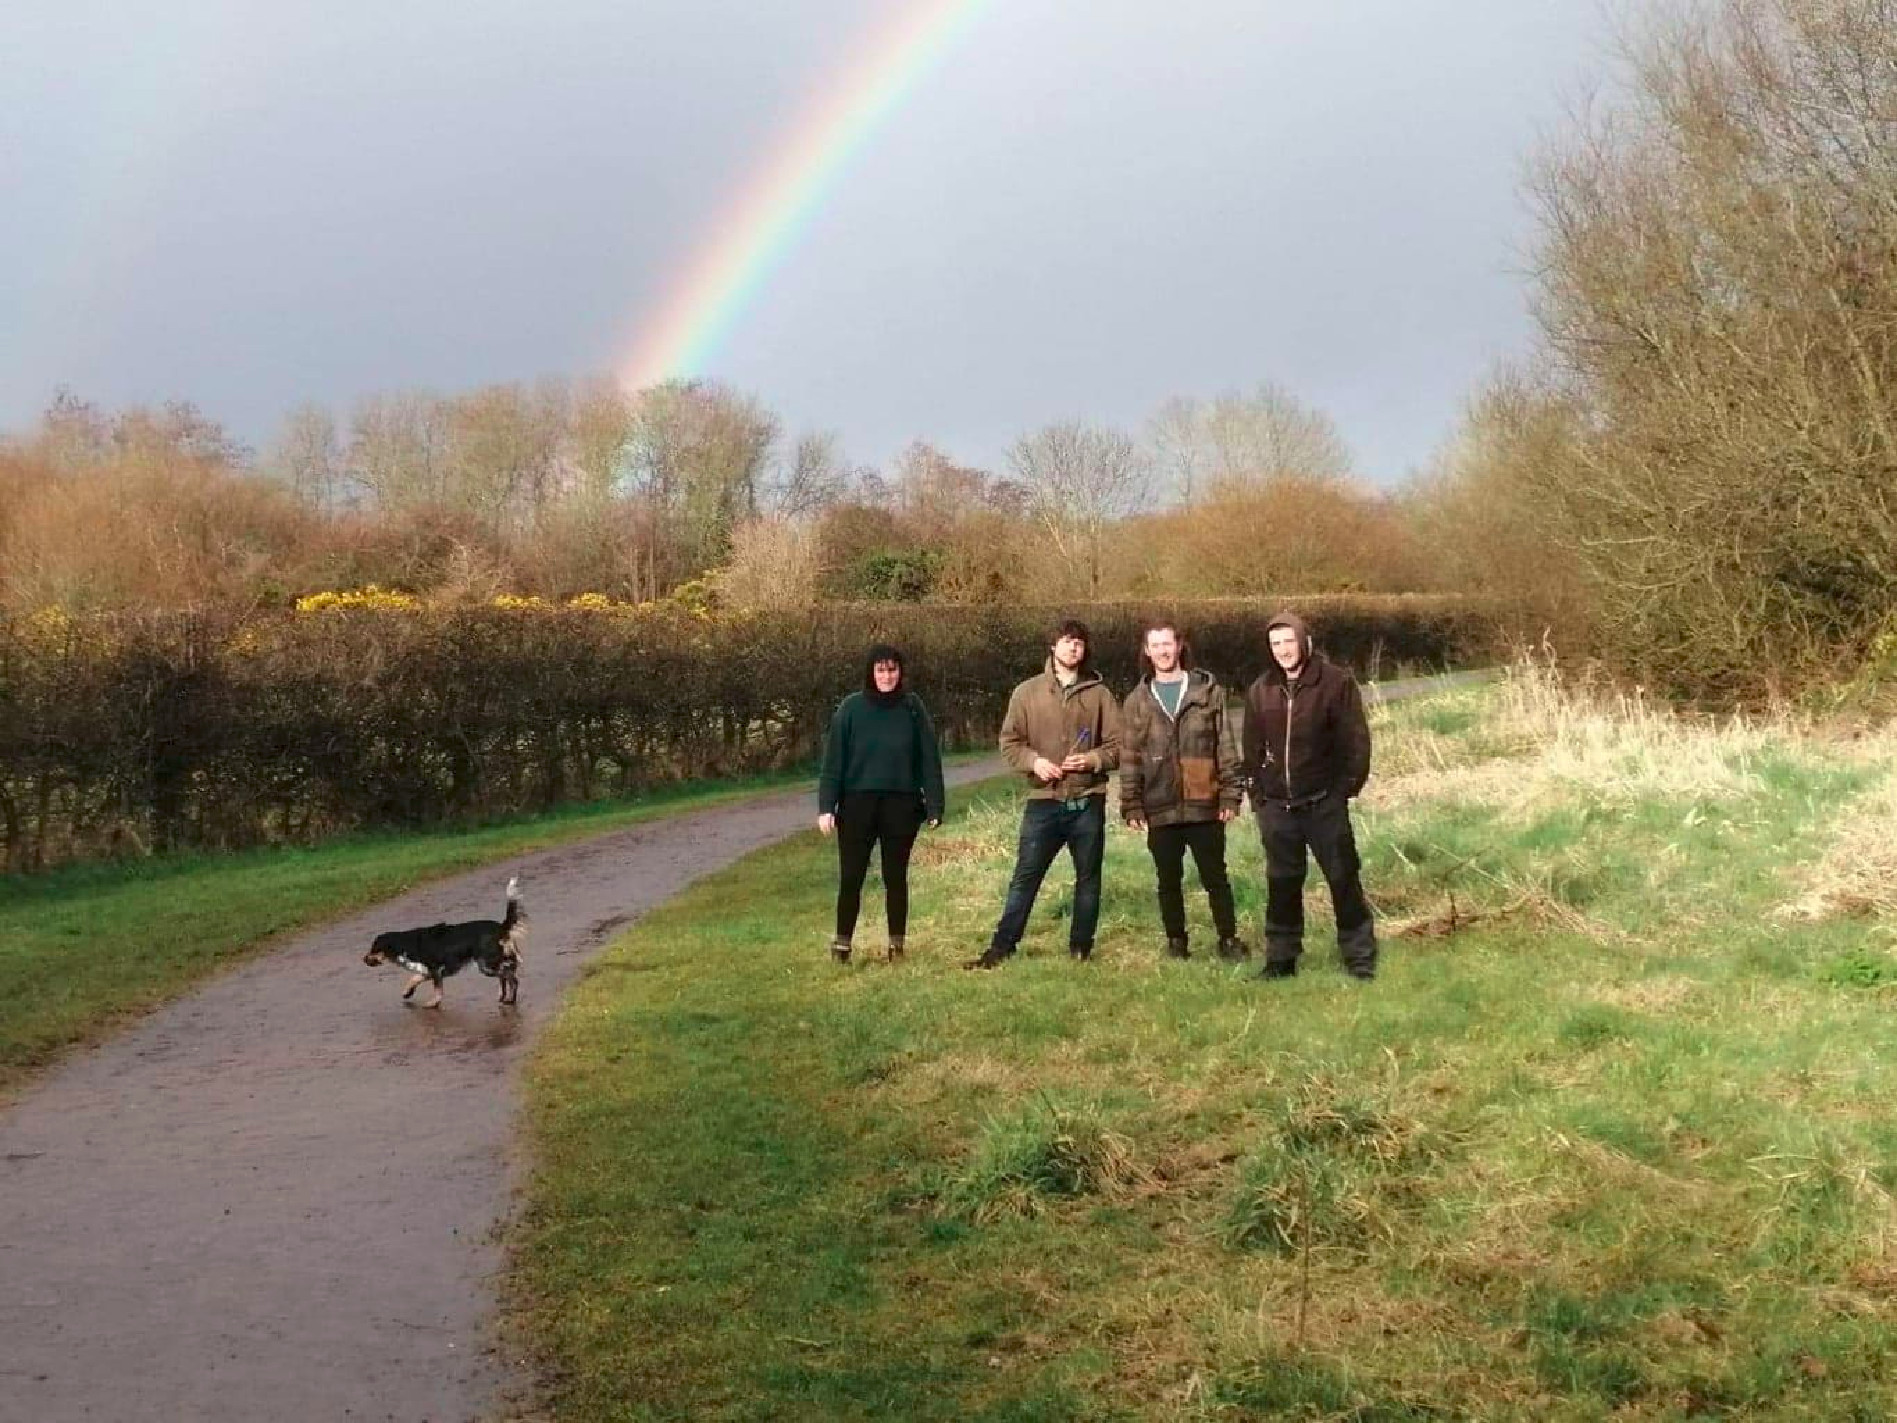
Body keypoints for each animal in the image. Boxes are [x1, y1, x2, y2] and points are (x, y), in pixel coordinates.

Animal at [363, 876, 525, 1008]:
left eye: (373, 949)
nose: (363, 959)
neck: (403, 945)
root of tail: (501, 927)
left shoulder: (435, 970)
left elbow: (437, 990)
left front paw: (432, 1003)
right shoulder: (427, 971)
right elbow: (414, 978)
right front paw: (407, 992)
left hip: (486, 965)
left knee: (511, 977)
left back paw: (510, 1000)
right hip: (491, 963)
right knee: (506, 976)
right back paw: (503, 996)